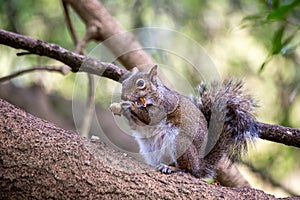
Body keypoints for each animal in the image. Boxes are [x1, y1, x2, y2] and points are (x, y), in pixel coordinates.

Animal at [109, 65, 258, 181]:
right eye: (124, 82)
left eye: (141, 84)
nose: (124, 96)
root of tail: (199, 164)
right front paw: (120, 107)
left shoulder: (166, 105)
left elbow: (150, 117)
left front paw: (130, 106)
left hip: (180, 143)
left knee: (187, 170)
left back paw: (170, 168)